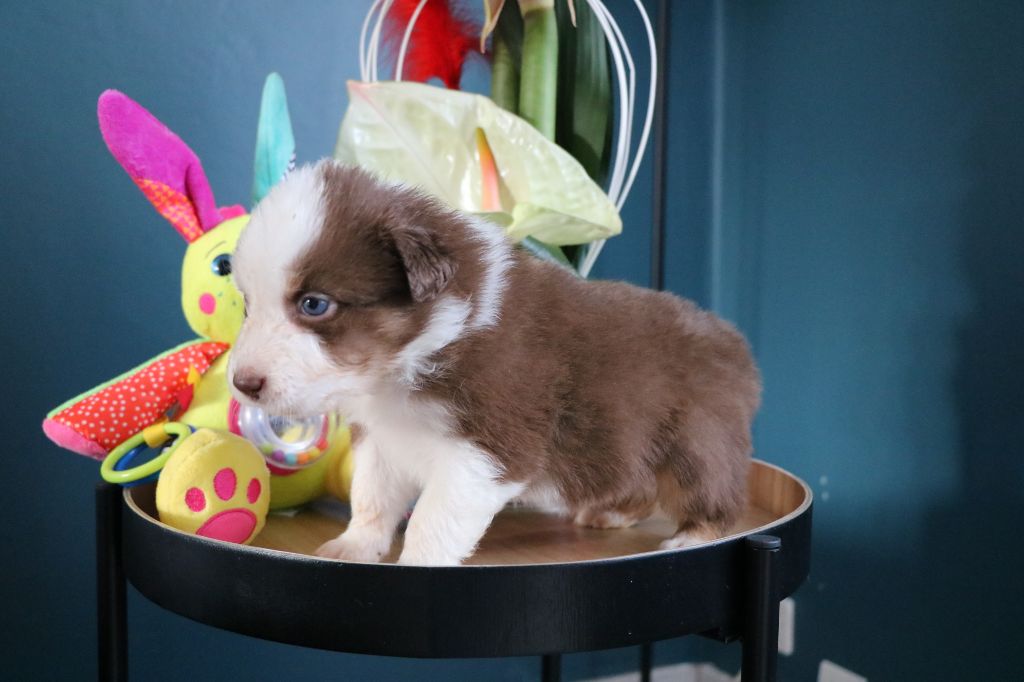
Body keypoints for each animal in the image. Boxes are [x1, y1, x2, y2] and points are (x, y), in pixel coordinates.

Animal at [227, 160, 761, 566]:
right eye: (247, 305)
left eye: (314, 304)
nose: (243, 384)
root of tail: (734, 344)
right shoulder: (382, 437)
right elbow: (371, 496)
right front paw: (353, 546)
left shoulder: (489, 449)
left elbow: (434, 519)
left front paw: (418, 564)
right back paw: (611, 513)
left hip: (696, 438)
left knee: (713, 491)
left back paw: (694, 535)